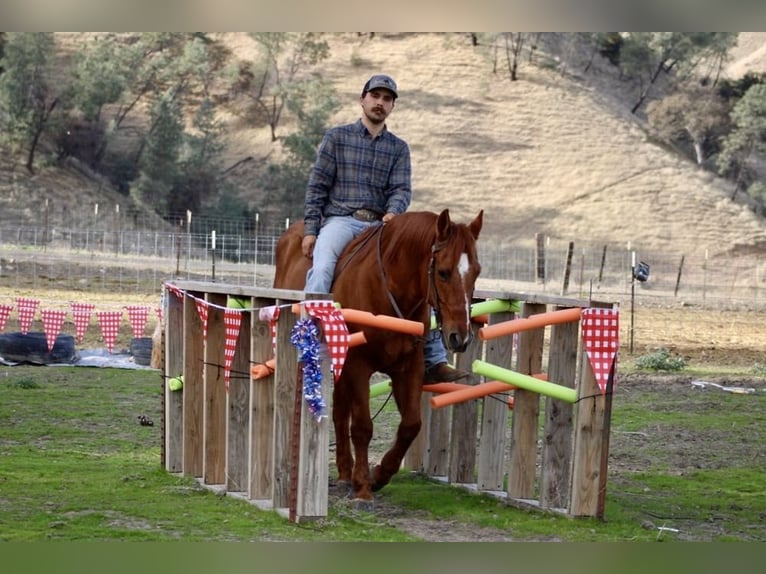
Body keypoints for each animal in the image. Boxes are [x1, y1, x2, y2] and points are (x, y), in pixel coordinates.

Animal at [273, 209, 483, 507]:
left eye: (476, 272)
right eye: (443, 272)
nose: (460, 337)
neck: (388, 290)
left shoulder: (409, 369)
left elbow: (410, 425)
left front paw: (378, 475)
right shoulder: (358, 366)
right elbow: (362, 426)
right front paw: (363, 487)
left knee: (340, 413)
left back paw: (345, 472)